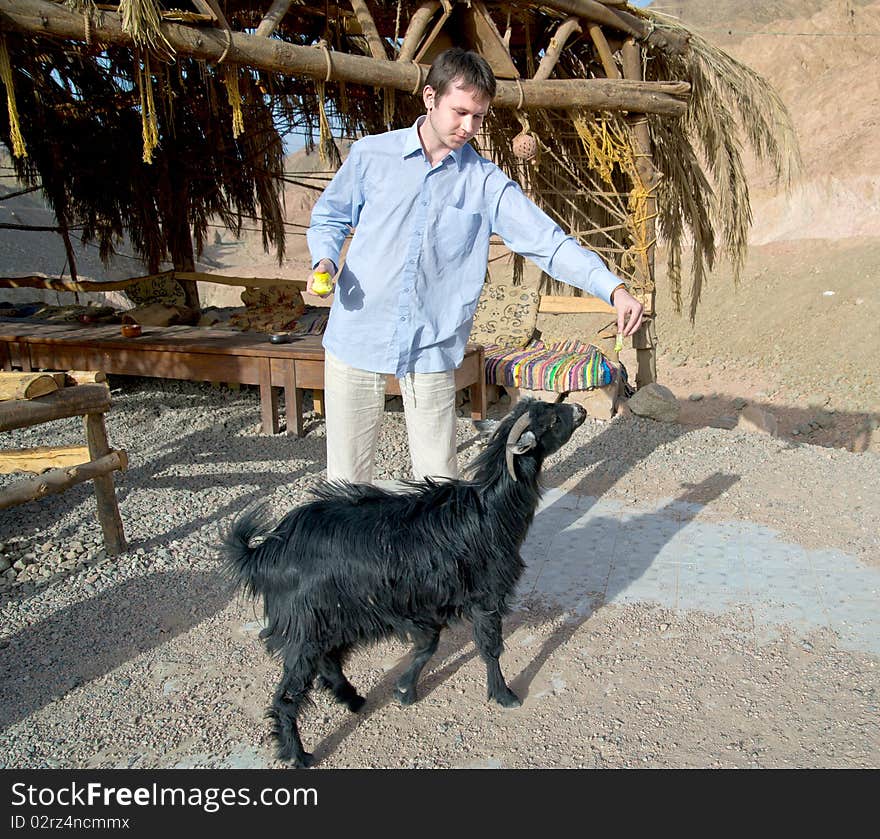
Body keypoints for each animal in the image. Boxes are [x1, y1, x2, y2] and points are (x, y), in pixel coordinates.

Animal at [223, 400, 588, 768]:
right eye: (552, 420)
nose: (579, 408)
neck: (489, 513)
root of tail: (266, 551)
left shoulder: (429, 604)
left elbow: (428, 646)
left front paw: (404, 689)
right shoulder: (484, 596)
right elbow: (489, 648)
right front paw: (504, 695)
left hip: (331, 619)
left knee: (328, 660)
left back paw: (352, 699)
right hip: (305, 624)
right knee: (289, 692)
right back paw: (297, 753)